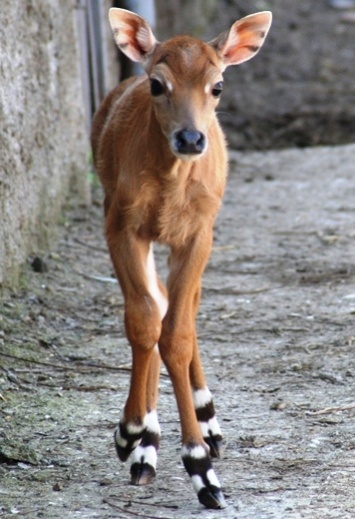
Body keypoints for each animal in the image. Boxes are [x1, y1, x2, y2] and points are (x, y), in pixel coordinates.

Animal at [92, 7, 272, 512]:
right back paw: (147, 445)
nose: (191, 138)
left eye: (218, 85)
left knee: (183, 310)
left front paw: (202, 468)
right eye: (158, 84)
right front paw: (131, 431)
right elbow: (143, 322)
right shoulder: (121, 223)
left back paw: (206, 420)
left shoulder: (198, 233)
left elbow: (177, 332)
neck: (170, 187)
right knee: (157, 304)